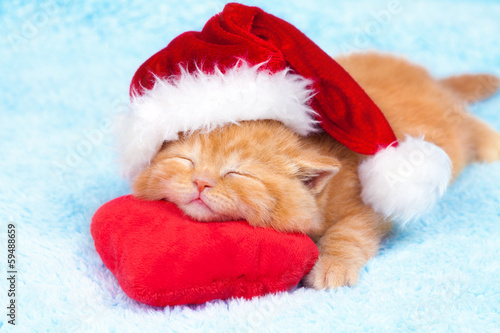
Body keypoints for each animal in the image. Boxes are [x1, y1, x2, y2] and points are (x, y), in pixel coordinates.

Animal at [132, 53, 500, 290]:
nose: (201, 182)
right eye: (187, 161)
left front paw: (331, 267)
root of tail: (428, 78)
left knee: (470, 128)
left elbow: (348, 233)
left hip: (451, 130)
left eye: (238, 174)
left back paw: (492, 144)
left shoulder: (369, 208)